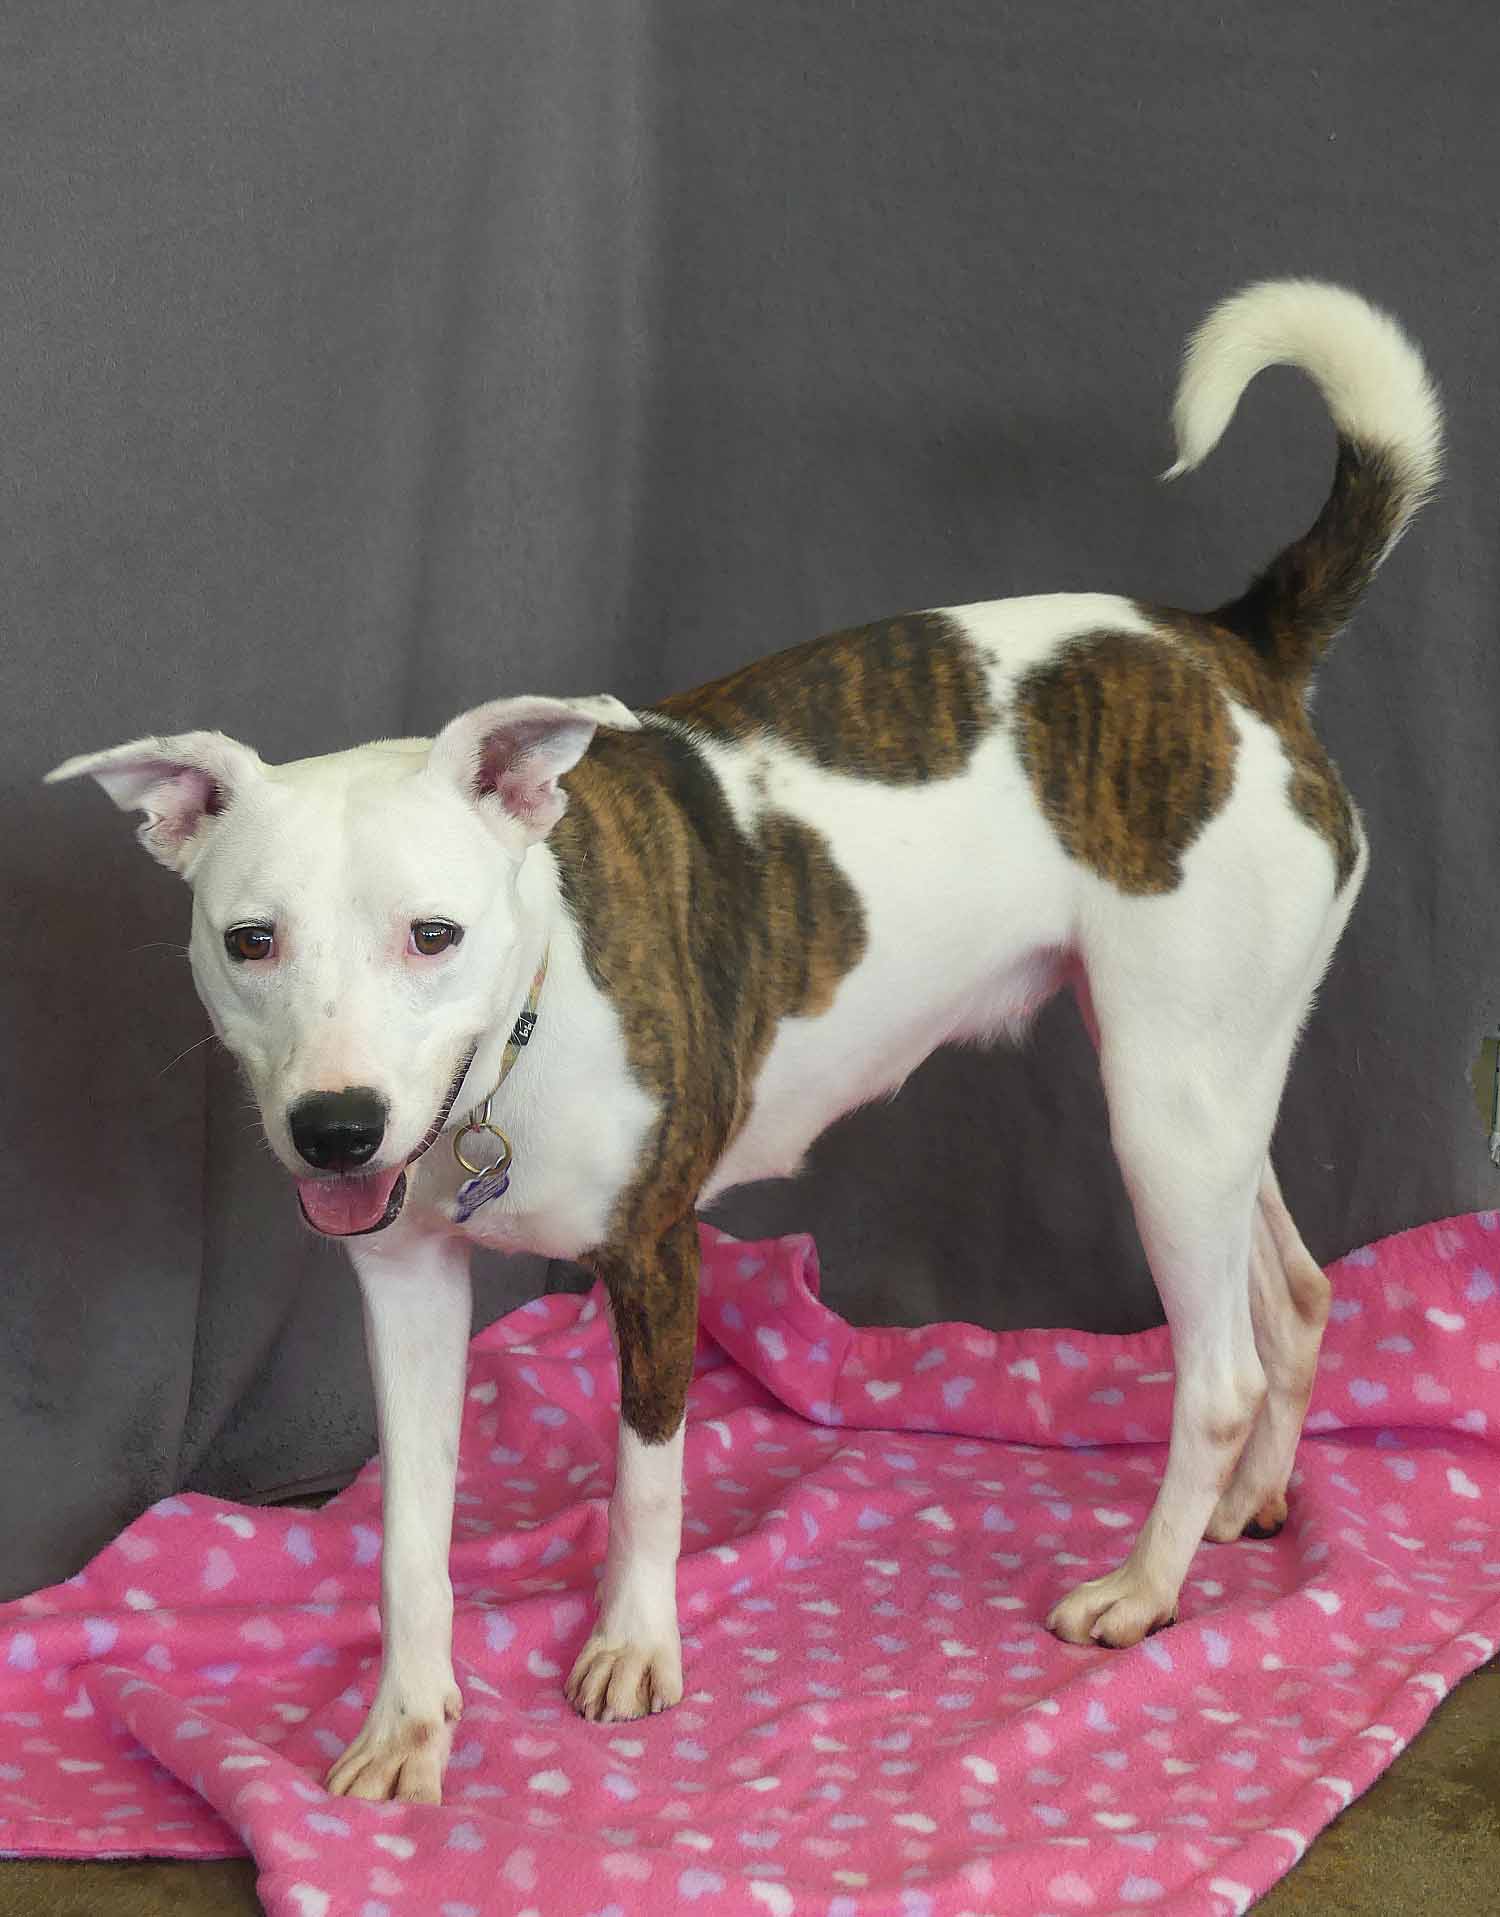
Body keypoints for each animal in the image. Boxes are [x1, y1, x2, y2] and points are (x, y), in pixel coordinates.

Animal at [49, 279, 1441, 1805]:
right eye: (251, 942)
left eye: (433, 934)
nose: (337, 1129)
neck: (522, 1029)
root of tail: (1232, 642)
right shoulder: (406, 1282)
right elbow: (411, 1532)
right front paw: (407, 1720)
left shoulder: (659, 1256)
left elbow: (646, 1479)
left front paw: (631, 1648)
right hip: (1212, 1086)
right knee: (1296, 1292)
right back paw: (1255, 1500)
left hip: (1164, 1108)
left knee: (1218, 1371)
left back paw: (1145, 1585)